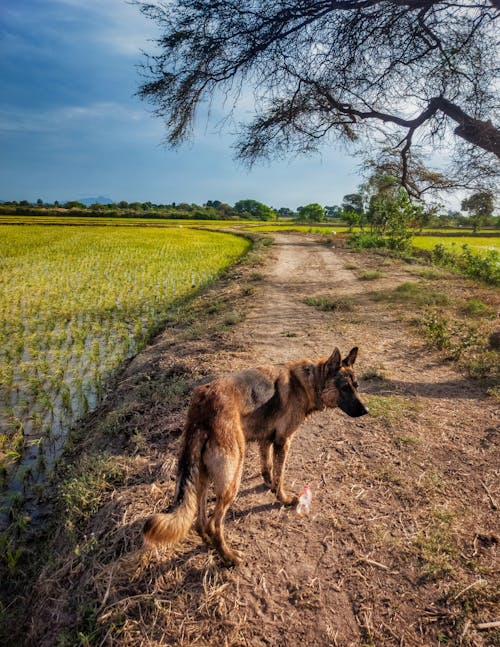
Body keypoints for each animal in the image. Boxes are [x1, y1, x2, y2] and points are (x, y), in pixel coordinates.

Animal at [143, 346, 370, 564]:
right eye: (345, 388)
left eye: (357, 386)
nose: (366, 411)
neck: (310, 380)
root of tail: (202, 406)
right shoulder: (282, 442)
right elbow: (280, 475)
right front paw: (284, 498)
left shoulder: (266, 440)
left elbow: (267, 466)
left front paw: (269, 485)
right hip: (233, 477)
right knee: (213, 524)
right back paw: (229, 557)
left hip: (203, 477)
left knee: (200, 522)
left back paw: (210, 545)